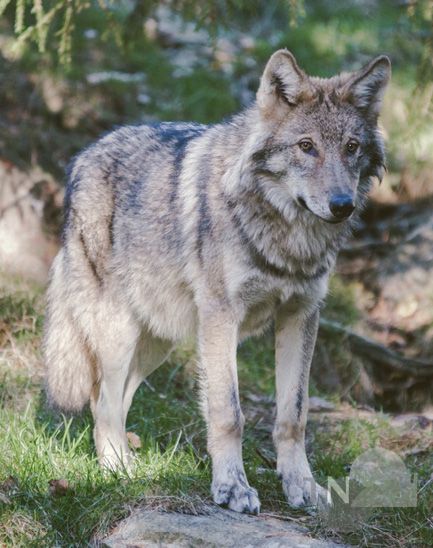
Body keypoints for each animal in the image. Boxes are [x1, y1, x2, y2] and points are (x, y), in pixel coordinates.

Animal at [42, 50, 390, 512]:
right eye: (306, 146)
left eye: (351, 147)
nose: (342, 205)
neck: (288, 239)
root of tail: (82, 157)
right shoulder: (223, 317)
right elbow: (229, 414)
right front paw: (232, 487)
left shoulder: (301, 315)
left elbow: (293, 415)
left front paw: (301, 486)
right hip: (119, 333)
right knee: (102, 403)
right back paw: (118, 472)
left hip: (158, 341)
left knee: (119, 399)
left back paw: (130, 465)